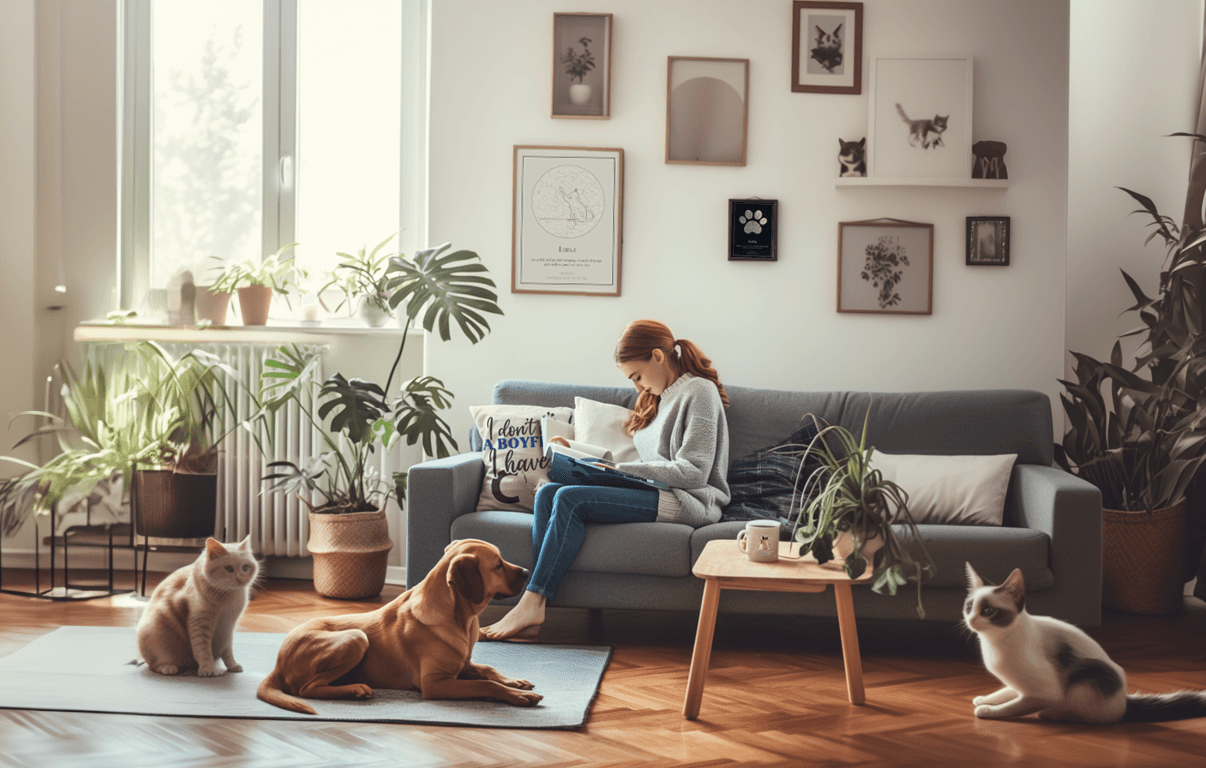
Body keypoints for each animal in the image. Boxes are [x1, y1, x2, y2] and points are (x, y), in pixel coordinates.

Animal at [136, 535, 259, 675]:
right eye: (229, 569)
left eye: (245, 567)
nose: (241, 579)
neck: (227, 596)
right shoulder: (200, 623)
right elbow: (203, 649)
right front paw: (207, 669)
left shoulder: (228, 627)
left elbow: (227, 651)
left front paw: (232, 666)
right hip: (154, 630)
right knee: (153, 665)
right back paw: (168, 668)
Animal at [258, 535, 542, 708]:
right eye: (497, 565)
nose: (528, 572)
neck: (462, 618)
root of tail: (278, 664)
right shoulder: (435, 683)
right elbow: (486, 683)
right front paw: (518, 695)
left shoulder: (463, 665)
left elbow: (488, 669)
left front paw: (514, 682)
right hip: (356, 638)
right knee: (307, 689)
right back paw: (355, 689)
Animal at [959, 559, 1206, 723]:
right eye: (970, 607)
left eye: (988, 611)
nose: (971, 619)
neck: (994, 642)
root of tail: (1124, 701)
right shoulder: (1018, 684)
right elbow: (1008, 691)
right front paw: (985, 699)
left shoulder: (1044, 692)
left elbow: (1015, 706)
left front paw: (988, 711)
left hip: (1082, 683)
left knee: (1091, 716)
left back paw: (1052, 714)